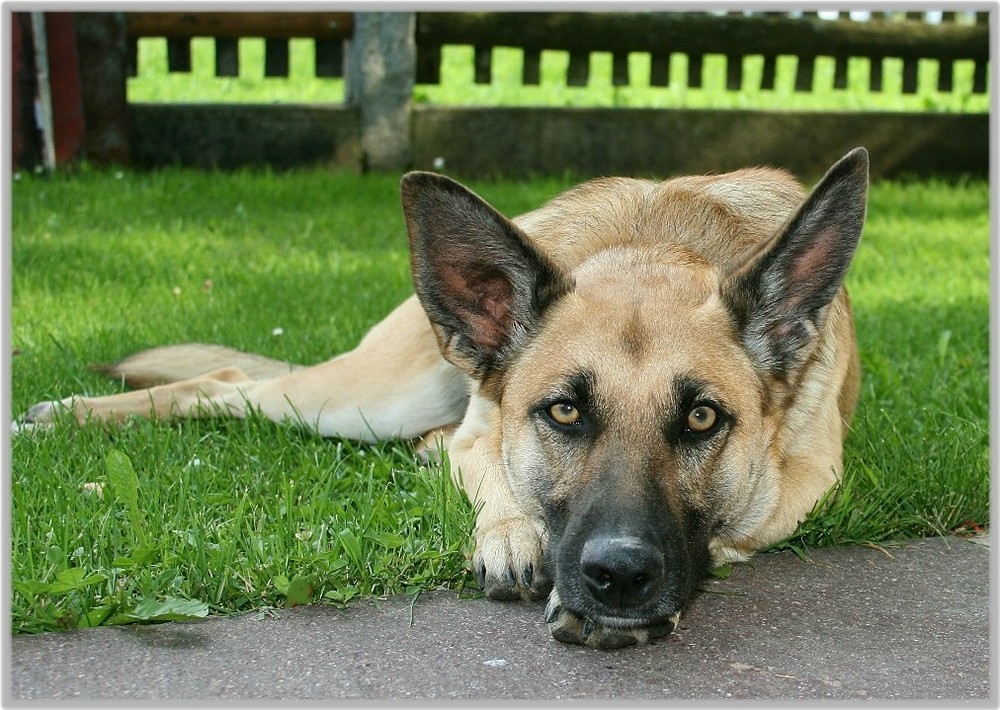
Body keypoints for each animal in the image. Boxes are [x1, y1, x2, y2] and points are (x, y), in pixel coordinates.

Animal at [23, 149, 868, 652]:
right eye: (563, 411)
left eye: (701, 418)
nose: (620, 576)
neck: (654, 250)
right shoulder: (484, 436)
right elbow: (496, 480)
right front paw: (512, 536)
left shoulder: (811, 481)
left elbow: (742, 527)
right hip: (363, 398)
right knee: (226, 384)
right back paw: (66, 415)